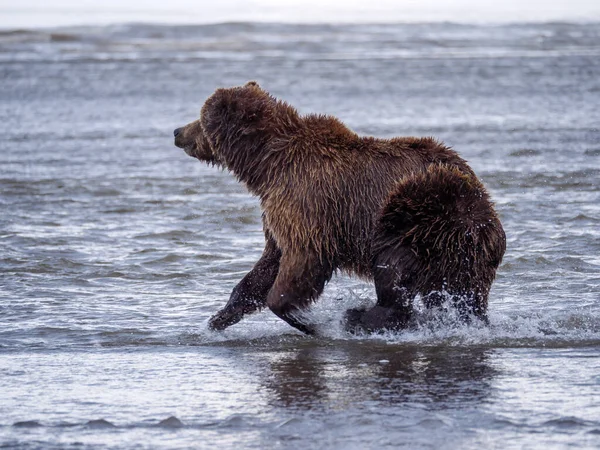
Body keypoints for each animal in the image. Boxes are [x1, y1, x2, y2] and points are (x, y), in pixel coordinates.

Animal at [175, 81, 506, 334]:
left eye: (200, 117)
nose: (178, 132)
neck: (267, 165)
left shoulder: (309, 203)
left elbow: (300, 265)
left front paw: (309, 321)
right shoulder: (278, 212)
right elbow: (267, 264)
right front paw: (218, 318)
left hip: (424, 210)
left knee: (393, 267)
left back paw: (359, 316)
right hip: (462, 253)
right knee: (463, 297)